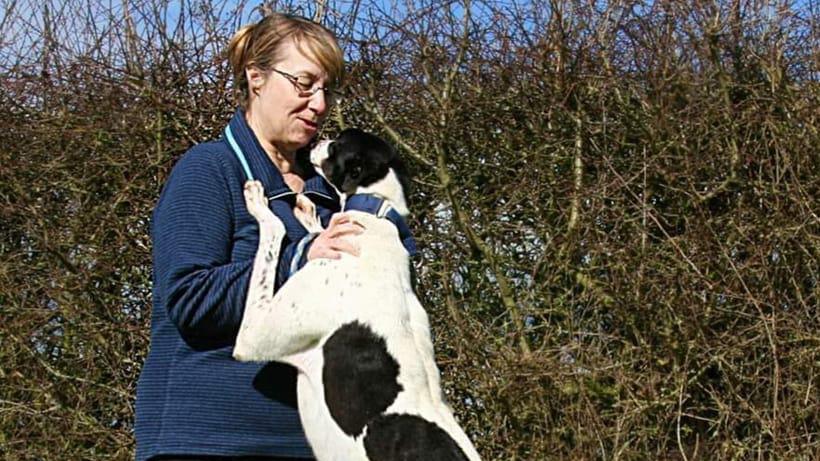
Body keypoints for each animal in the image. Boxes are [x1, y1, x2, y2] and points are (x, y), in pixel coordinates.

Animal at [234, 126, 480, 460]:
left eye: (337, 145)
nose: (315, 141)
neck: (376, 214)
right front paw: (311, 216)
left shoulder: (253, 336)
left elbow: (275, 231)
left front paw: (259, 203)